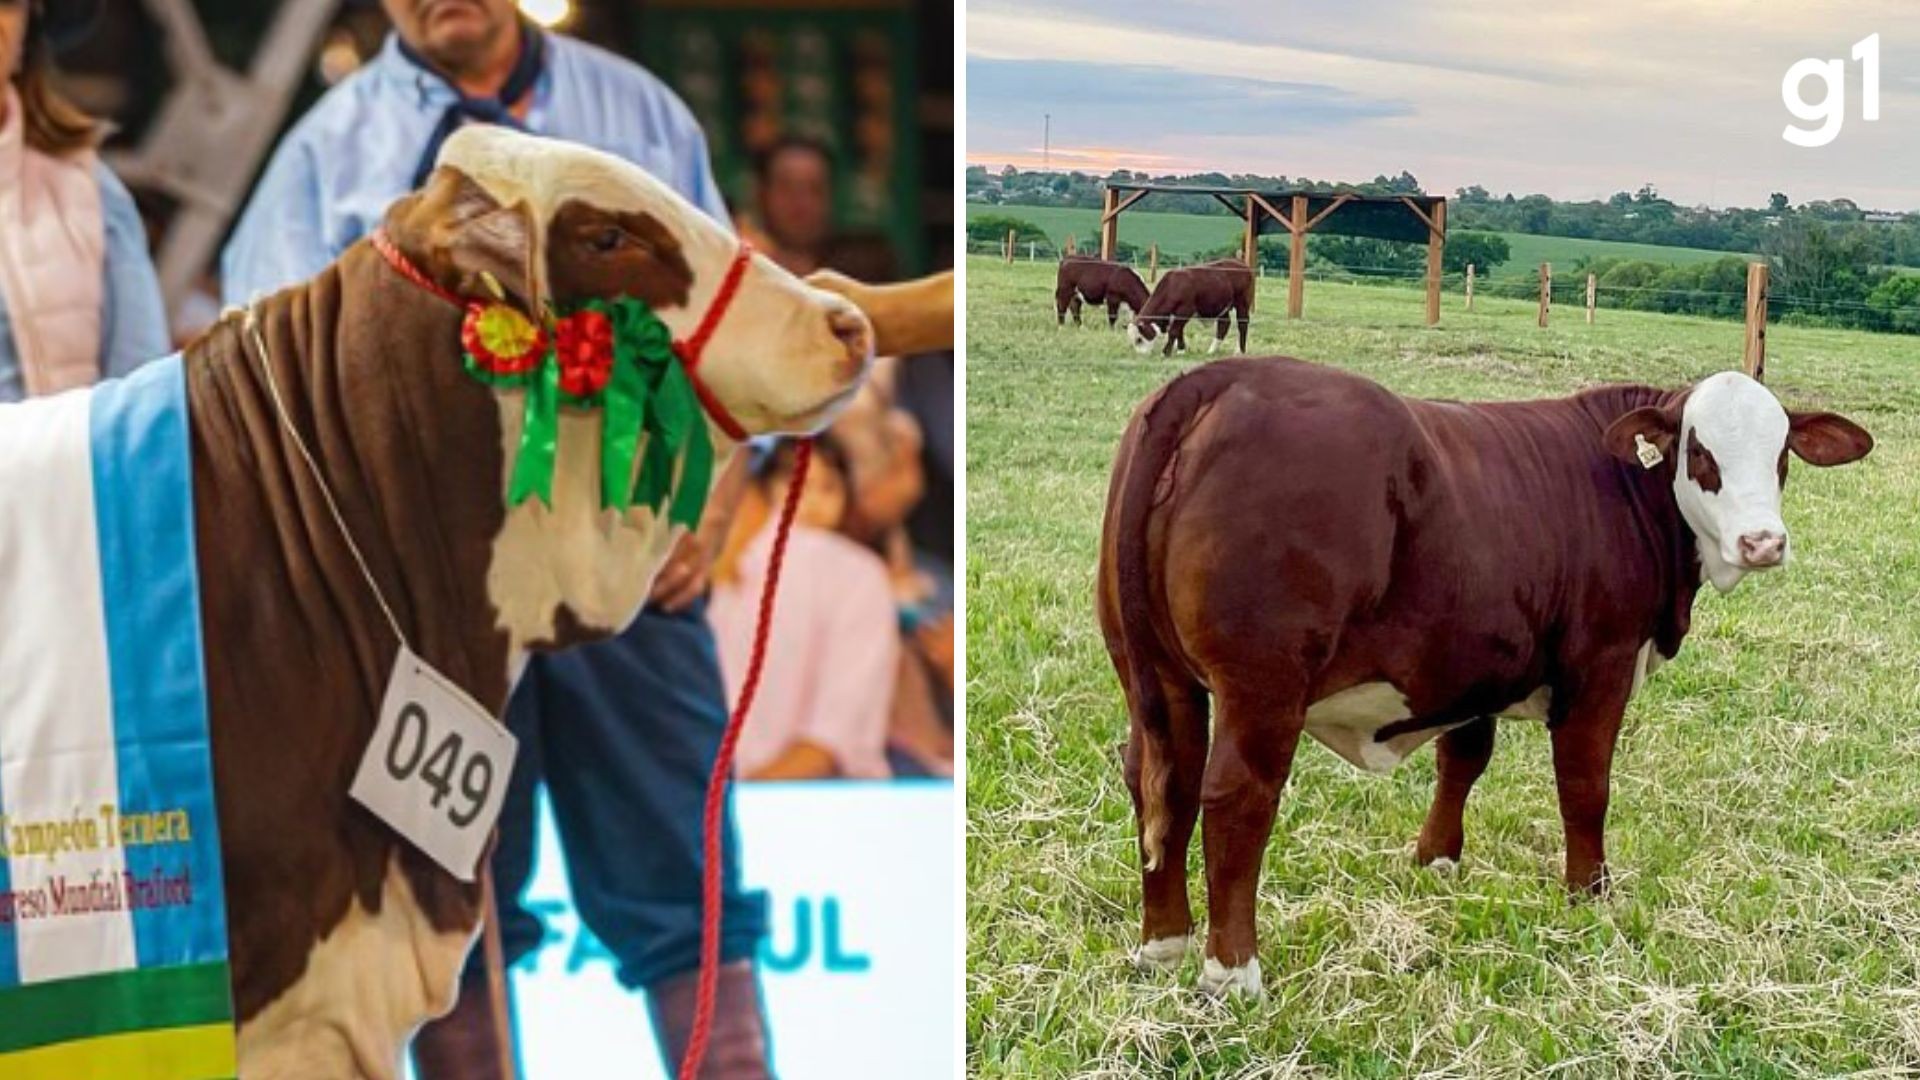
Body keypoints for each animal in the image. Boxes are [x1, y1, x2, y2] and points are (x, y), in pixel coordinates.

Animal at [1097, 358, 1872, 999]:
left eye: (1780, 454)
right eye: (1699, 452)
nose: (1763, 542)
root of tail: (1220, 378)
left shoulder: (1472, 663)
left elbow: (1462, 759)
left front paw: (1436, 860)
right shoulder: (1601, 664)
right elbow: (1585, 787)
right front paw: (1588, 894)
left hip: (1155, 675)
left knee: (1161, 779)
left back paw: (1164, 944)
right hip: (1261, 689)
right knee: (1235, 798)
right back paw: (1233, 972)